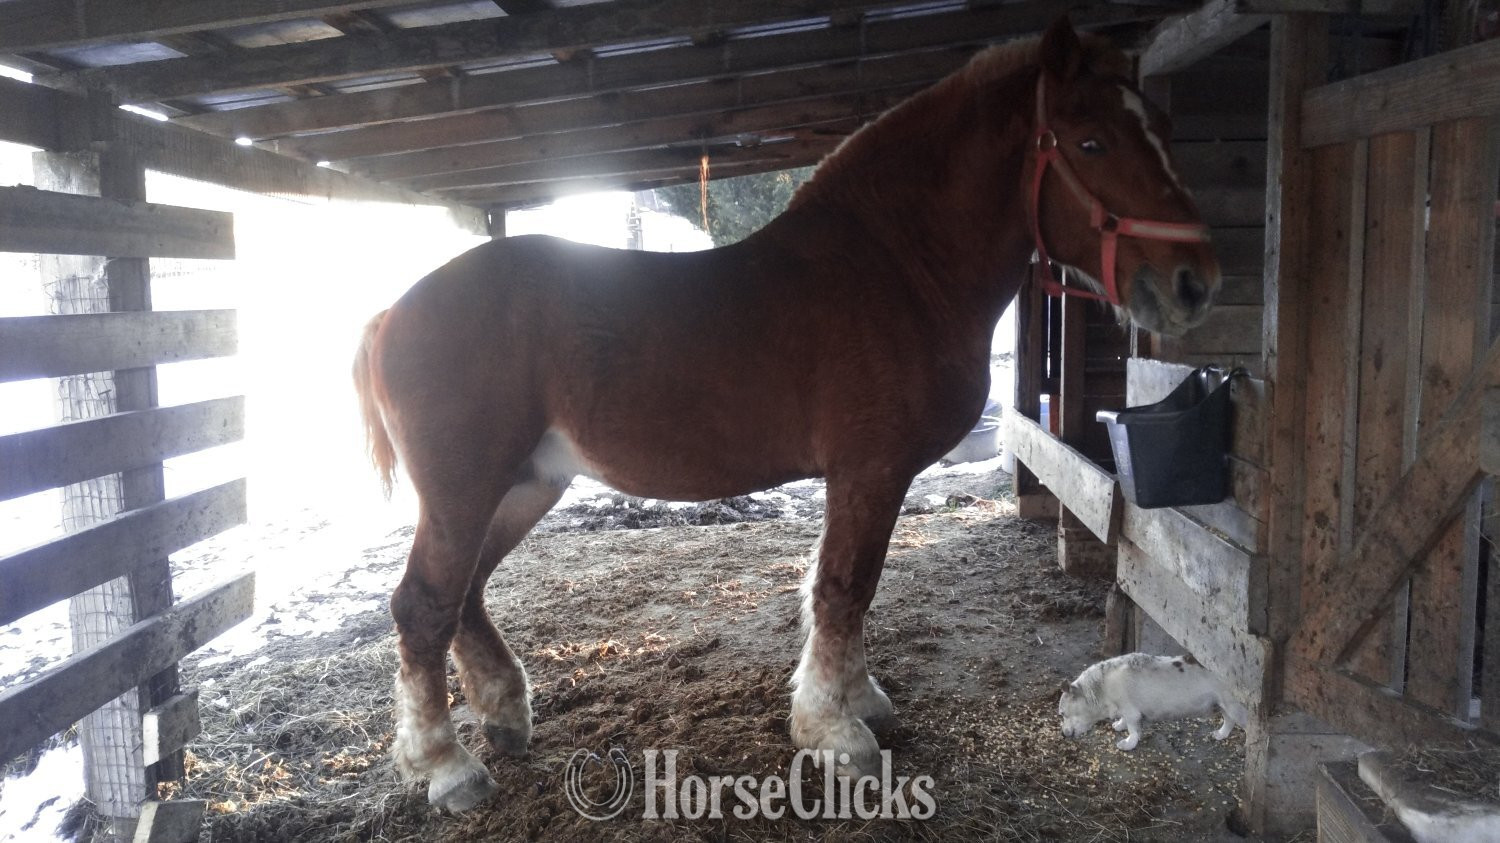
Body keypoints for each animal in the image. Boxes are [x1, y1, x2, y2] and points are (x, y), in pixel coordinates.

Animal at [352, 17, 1219, 813]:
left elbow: (850, 591)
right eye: (1091, 141)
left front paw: (858, 701)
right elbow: (843, 588)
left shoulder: (871, 477)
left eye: (1162, 129)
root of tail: (391, 313)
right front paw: (836, 733)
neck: (899, 266)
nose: (1196, 281)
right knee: (423, 607)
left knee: (463, 594)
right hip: (466, 492)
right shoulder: (869, 469)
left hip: (525, 483)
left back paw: (503, 715)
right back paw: (448, 767)